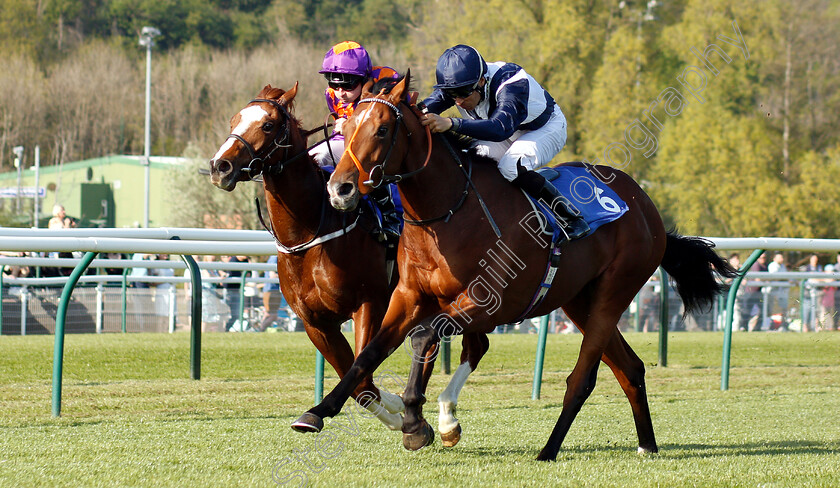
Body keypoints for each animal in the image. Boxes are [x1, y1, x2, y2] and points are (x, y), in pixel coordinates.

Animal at [208, 86, 412, 428]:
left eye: (268, 125)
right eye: (234, 120)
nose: (219, 166)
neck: (308, 236)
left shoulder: (369, 303)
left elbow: (362, 372)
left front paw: (404, 414)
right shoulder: (315, 322)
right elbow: (358, 383)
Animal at [292, 73, 740, 462]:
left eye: (383, 130)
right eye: (346, 128)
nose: (340, 189)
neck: (450, 212)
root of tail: (645, 204)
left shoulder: (489, 302)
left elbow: (424, 337)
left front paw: (415, 419)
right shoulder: (407, 295)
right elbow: (368, 355)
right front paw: (318, 412)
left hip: (615, 292)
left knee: (582, 379)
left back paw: (549, 450)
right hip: (580, 299)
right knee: (630, 368)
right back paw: (647, 444)